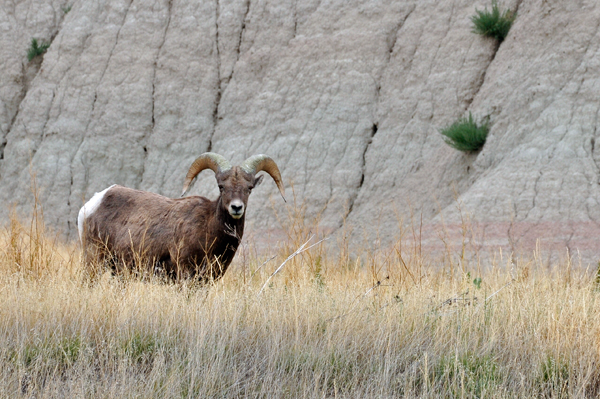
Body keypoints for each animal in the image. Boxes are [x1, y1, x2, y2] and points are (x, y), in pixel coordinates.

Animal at [78, 153, 286, 282]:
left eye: (249, 188)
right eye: (221, 186)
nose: (236, 207)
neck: (209, 229)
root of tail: (94, 202)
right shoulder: (185, 274)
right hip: (94, 261)